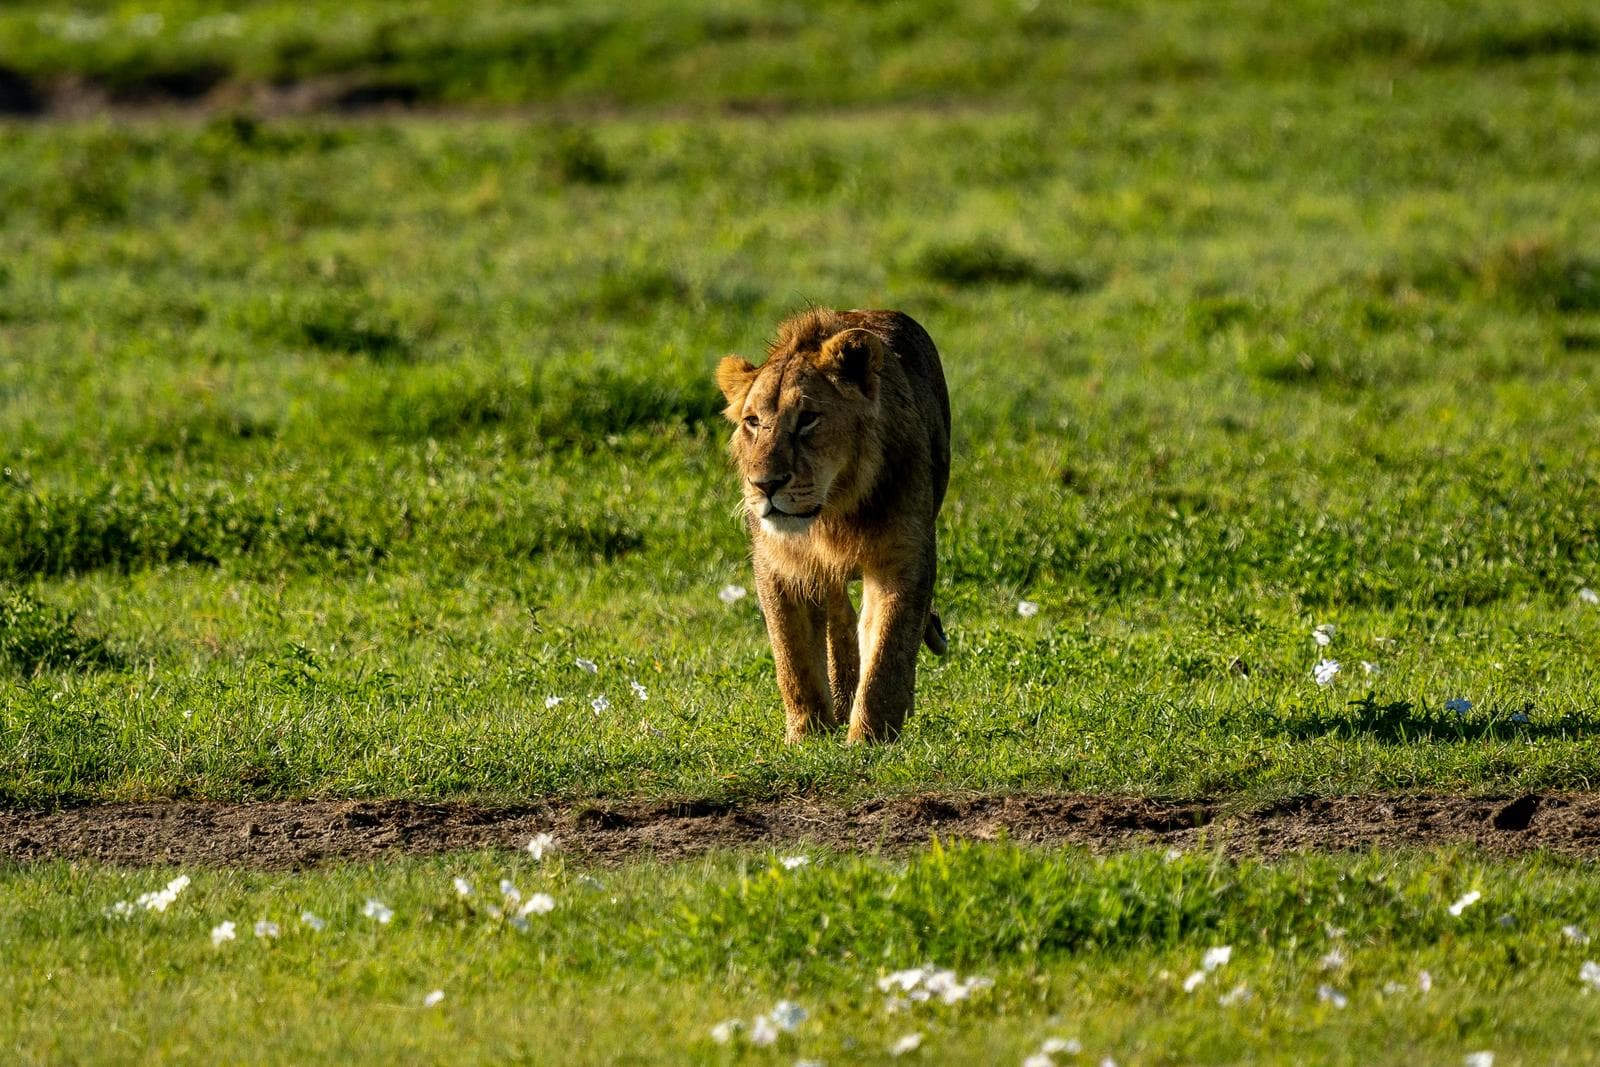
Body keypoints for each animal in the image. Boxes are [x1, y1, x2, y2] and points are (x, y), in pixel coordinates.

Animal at [716, 307, 950, 744]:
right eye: (752, 421)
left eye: (808, 419)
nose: (765, 485)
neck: (832, 514)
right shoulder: (778, 565)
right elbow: (793, 659)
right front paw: (807, 734)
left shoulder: (903, 559)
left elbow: (887, 653)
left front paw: (870, 738)